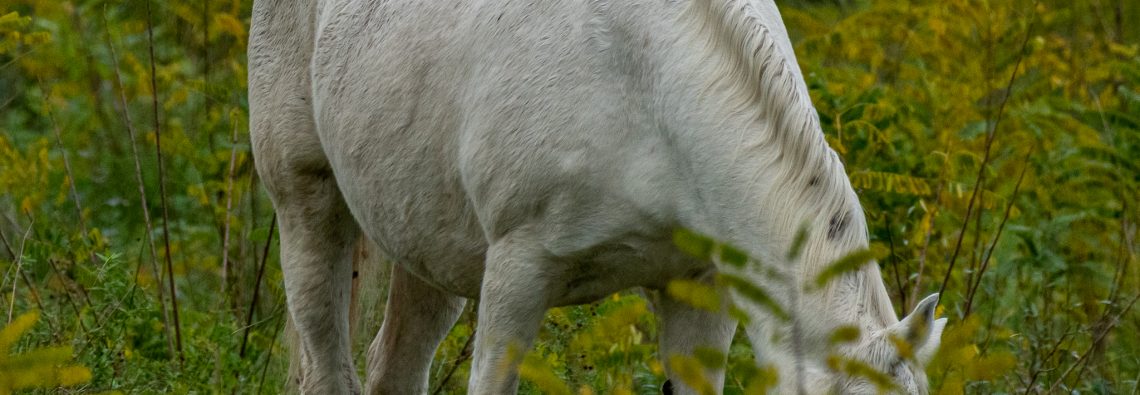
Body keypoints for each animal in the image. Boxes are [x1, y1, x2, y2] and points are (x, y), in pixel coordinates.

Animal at [247, 0, 943, 392]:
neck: (649, 85)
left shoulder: (699, 289)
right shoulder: (518, 273)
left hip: (429, 245)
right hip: (307, 203)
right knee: (326, 362)